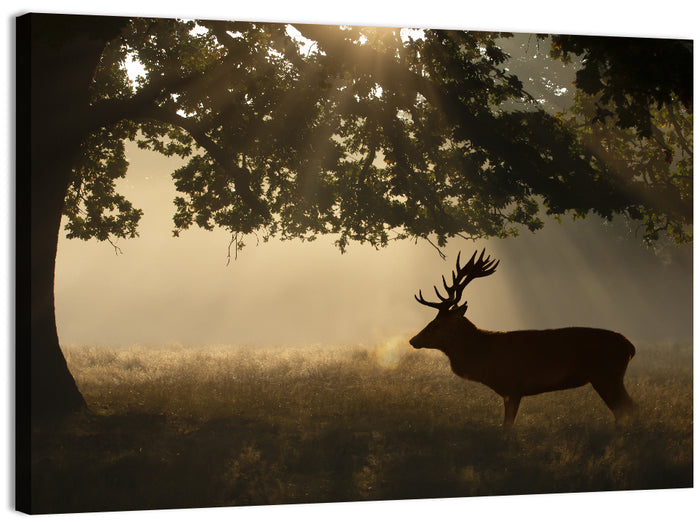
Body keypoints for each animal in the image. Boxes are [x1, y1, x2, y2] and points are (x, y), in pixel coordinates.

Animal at [409, 249, 637, 429]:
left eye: (436, 324)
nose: (413, 340)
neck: (485, 356)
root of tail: (630, 347)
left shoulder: (514, 385)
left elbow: (507, 426)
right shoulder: (508, 391)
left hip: (606, 375)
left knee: (627, 408)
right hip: (610, 377)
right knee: (627, 408)